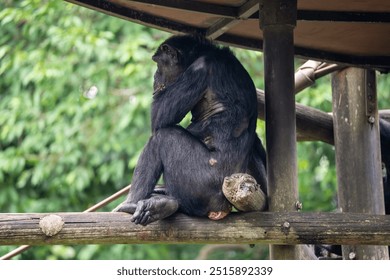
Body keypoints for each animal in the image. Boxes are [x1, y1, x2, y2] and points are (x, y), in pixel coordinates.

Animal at [115, 34, 268, 225]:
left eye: (158, 64)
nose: (155, 76)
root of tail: (221, 208)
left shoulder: (198, 70)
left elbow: (159, 117)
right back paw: (162, 204)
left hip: (199, 182)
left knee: (164, 137)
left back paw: (131, 204)